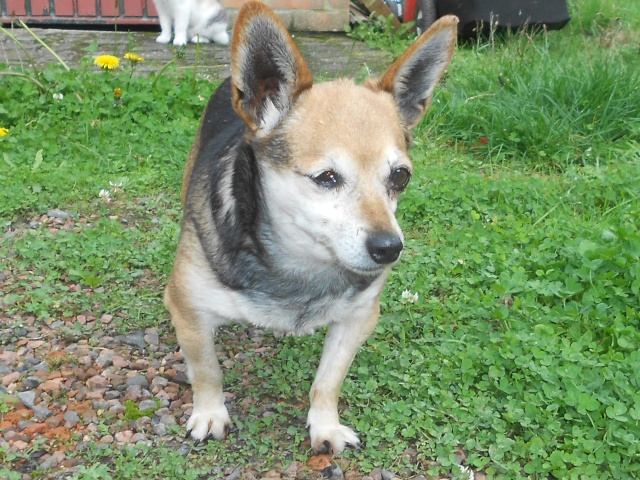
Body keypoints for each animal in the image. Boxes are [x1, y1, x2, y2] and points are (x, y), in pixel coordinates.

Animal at [164, 0, 456, 454]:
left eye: (400, 177)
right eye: (327, 178)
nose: (389, 248)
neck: (300, 266)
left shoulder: (358, 320)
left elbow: (328, 381)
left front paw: (325, 425)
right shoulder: (189, 309)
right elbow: (207, 370)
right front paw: (210, 413)